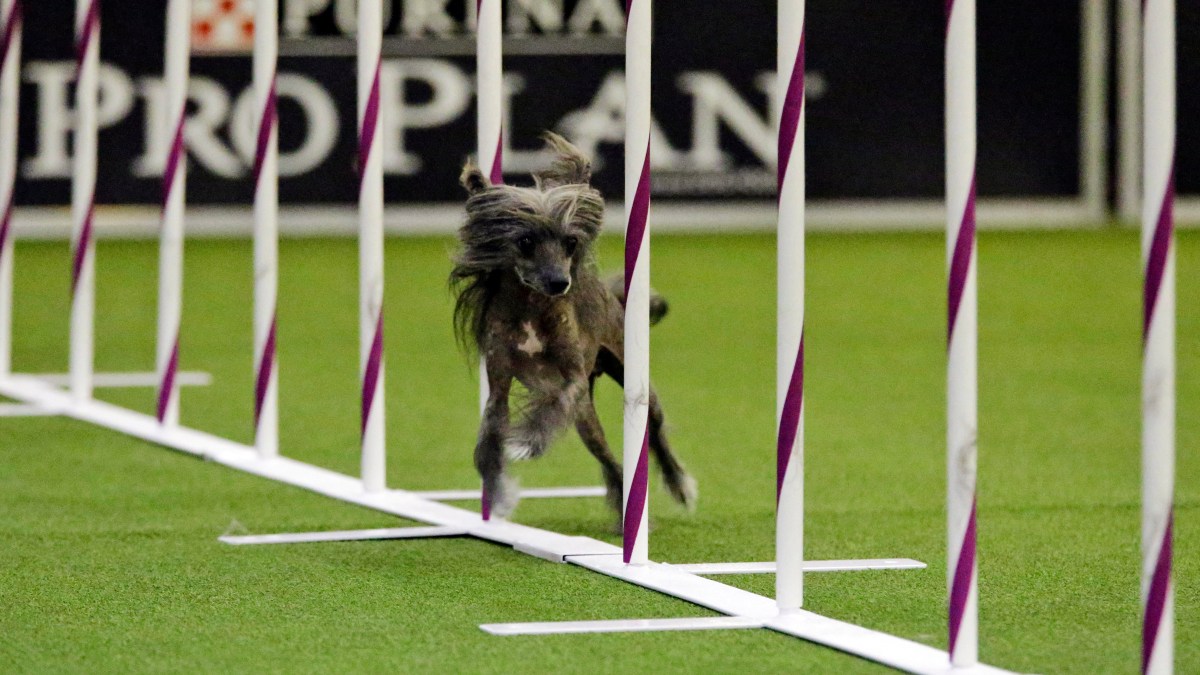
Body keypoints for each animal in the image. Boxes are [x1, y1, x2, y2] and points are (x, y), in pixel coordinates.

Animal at [448, 132, 696, 521]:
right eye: (525, 241)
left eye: (571, 242)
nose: (560, 283)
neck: (531, 308)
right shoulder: (499, 387)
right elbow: (488, 441)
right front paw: (497, 489)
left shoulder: (573, 379)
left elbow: (553, 405)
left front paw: (528, 441)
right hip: (586, 422)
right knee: (608, 458)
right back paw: (621, 503)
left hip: (634, 384)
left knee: (655, 433)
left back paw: (678, 484)